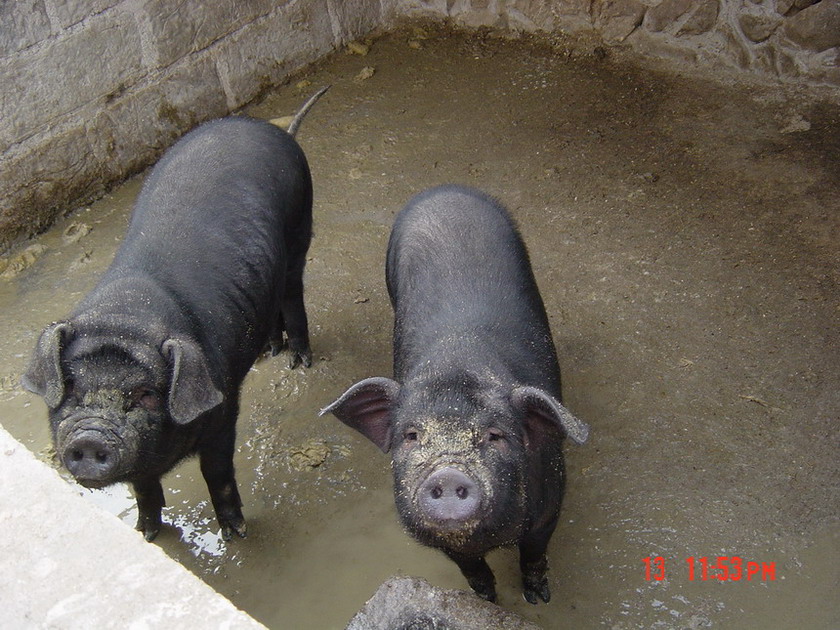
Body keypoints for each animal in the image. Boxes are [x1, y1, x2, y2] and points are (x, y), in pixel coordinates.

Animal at [21, 87, 329, 542]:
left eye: (147, 394)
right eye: (71, 385)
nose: (91, 438)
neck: (126, 320)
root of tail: (274, 129)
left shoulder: (223, 410)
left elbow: (217, 472)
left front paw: (236, 534)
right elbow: (143, 486)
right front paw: (146, 534)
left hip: (300, 230)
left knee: (293, 295)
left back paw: (299, 362)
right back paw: (268, 354)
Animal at [321, 185, 589, 604]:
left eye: (496, 435)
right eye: (411, 436)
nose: (447, 473)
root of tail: (444, 190)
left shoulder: (552, 503)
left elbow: (534, 552)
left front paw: (538, 598)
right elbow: (471, 568)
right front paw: (486, 599)